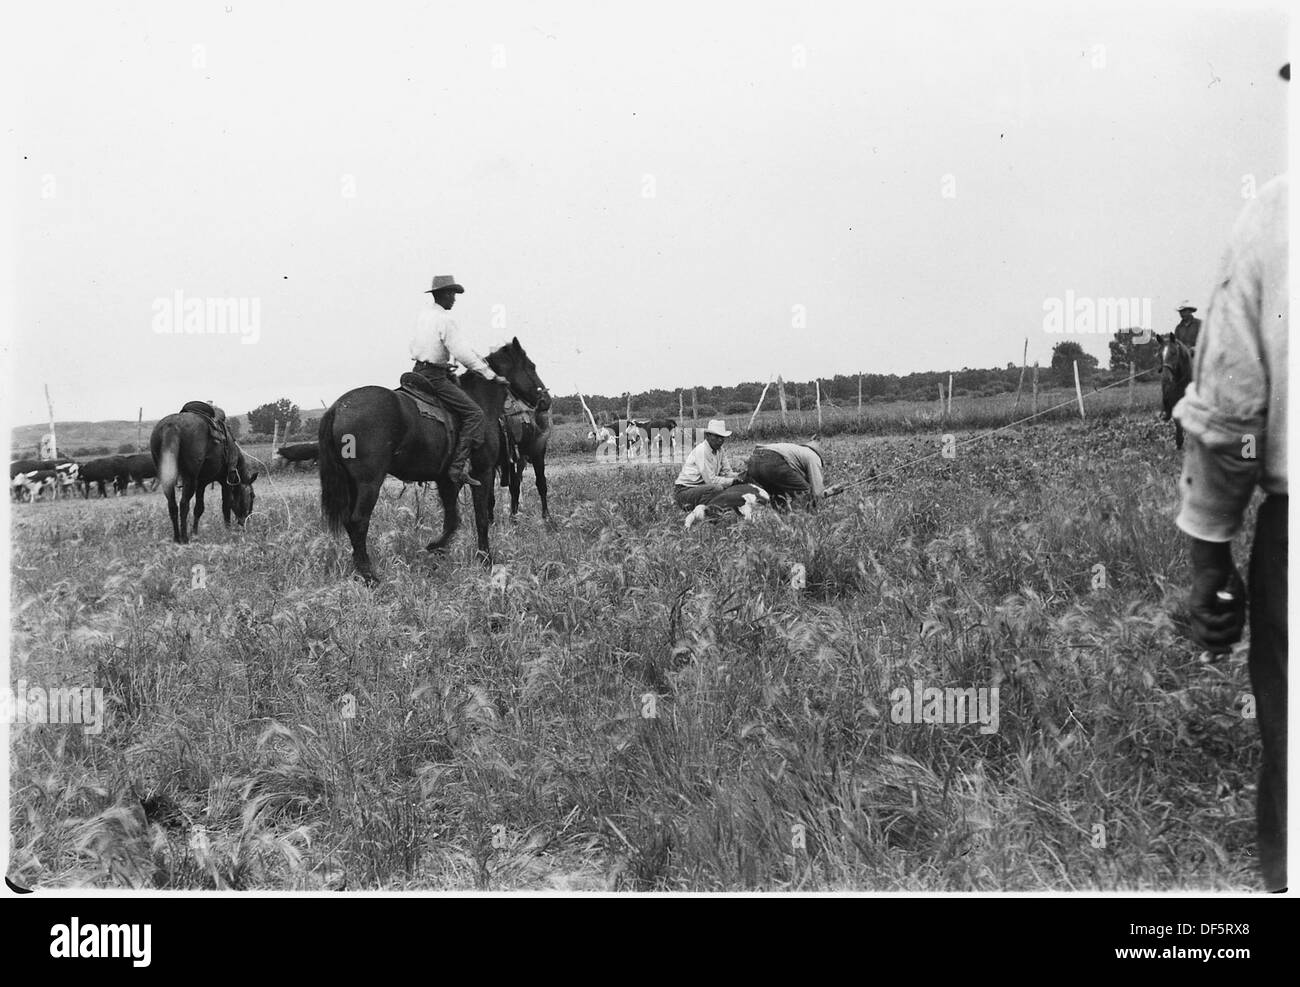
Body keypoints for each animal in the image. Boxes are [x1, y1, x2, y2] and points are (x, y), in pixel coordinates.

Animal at [149, 408, 258, 543]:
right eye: (252, 496)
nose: (247, 521)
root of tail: (171, 426)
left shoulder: (201, 484)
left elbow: (199, 508)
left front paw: (195, 533)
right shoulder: (226, 480)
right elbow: (226, 504)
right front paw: (228, 530)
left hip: (168, 478)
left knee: (172, 505)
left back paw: (177, 538)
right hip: (190, 479)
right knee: (184, 504)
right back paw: (184, 538)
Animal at [322, 340, 551, 579]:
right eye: (531, 366)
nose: (546, 401)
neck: (480, 400)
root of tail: (338, 407)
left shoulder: (447, 480)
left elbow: (452, 519)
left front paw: (436, 549)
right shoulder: (482, 472)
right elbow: (480, 516)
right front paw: (485, 558)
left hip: (352, 483)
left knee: (349, 521)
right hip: (369, 483)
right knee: (358, 521)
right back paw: (369, 575)